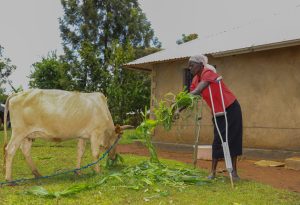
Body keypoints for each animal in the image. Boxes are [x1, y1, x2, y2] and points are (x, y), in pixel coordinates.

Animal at [2, 89, 130, 182]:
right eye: (117, 140)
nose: (114, 157)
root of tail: (17, 93)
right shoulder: (96, 133)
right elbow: (95, 153)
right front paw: (98, 172)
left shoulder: (82, 136)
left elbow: (80, 152)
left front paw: (78, 172)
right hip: (19, 132)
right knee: (10, 150)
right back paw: (9, 179)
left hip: (28, 135)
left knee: (25, 150)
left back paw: (37, 174)